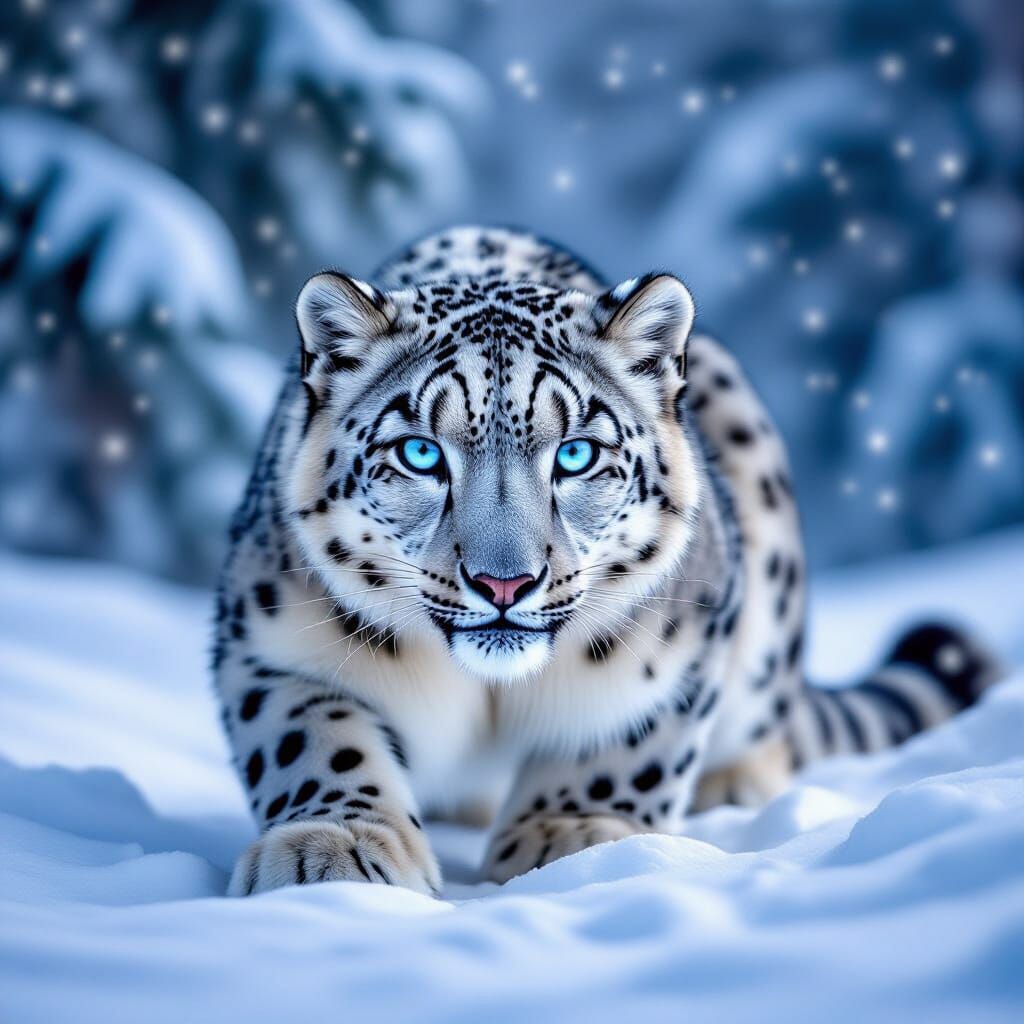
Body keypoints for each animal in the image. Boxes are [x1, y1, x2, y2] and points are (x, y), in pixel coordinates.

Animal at [214, 225, 1000, 896]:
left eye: (575, 454)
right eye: (420, 453)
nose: (505, 582)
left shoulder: (681, 648)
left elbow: (626, 737)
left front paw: (571, 834)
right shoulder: (273, 645)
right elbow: (315, 736)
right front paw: (333, 845)